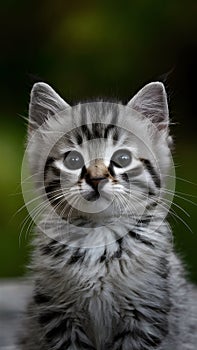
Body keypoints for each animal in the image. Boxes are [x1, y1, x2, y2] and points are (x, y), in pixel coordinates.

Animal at [20, 80, 197, 348]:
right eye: (73, 160)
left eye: (122, 158)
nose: (96, 179)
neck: (99, 234)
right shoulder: (59, 317)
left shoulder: (145, 314)